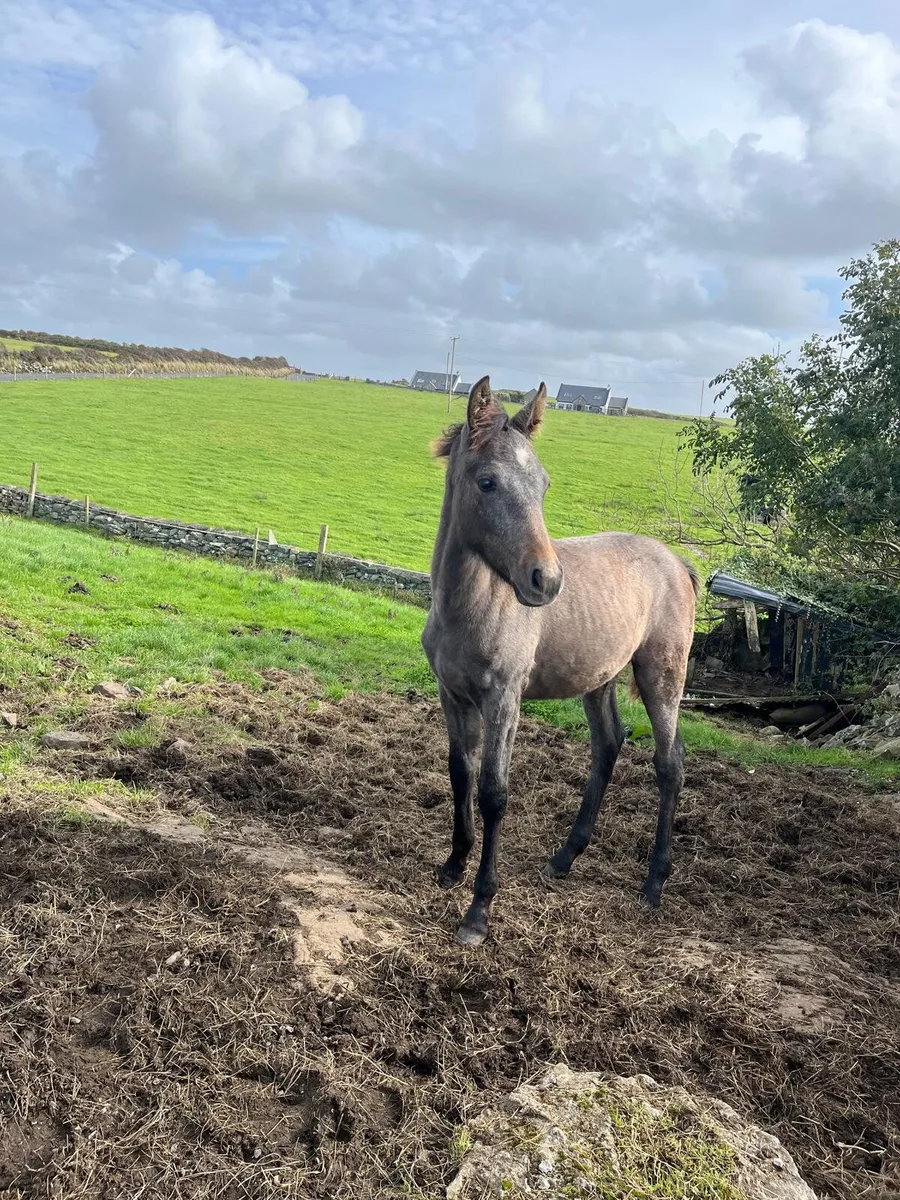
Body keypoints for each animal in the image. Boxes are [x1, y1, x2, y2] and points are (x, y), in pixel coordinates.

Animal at [421, 376, 699, 947]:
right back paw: (565, 857)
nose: (546, 582)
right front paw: (453, 865)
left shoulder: (504, 699)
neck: (470, 605)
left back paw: (653, 884)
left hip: (662, 674)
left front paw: (478, 911)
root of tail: (678, 562)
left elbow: (494, 793)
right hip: (600, 677)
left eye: (544, 484)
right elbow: (460, 774)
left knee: (670, 764)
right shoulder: (452, 693)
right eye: (487, 483)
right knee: (609, 744)